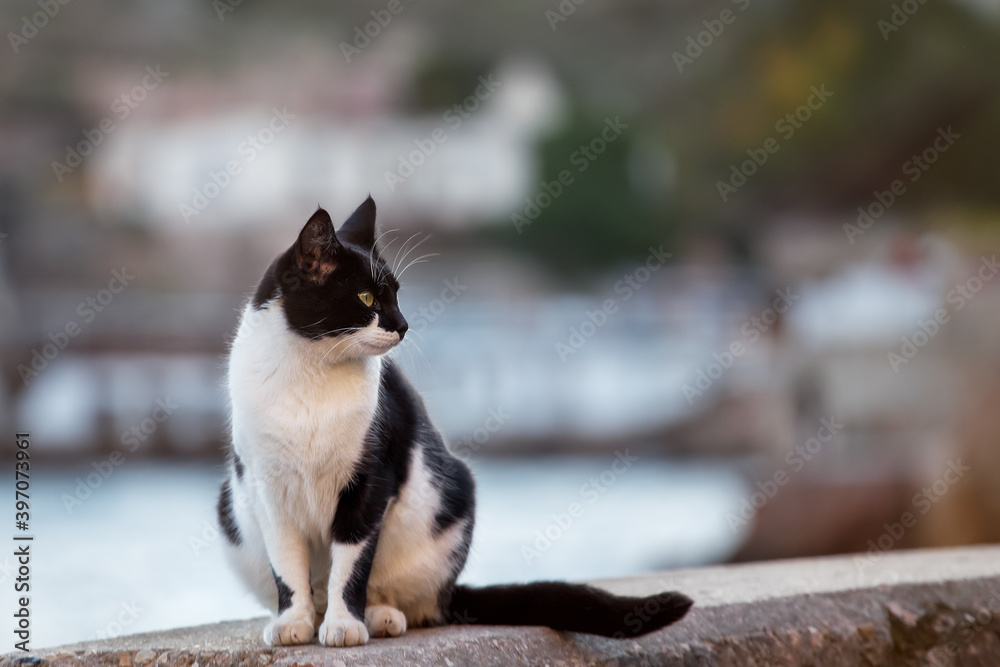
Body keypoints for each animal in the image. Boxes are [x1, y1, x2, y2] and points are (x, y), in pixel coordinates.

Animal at [217, 198, 688, 648]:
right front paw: (291, 623)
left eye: (397, 295)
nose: (403, 325)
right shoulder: (266, 487)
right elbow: (287, 565)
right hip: (230, 505)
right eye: (367, 298)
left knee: (408, 598)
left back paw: (380, 617)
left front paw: (346, 625)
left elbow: (350, 566)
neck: (312, 372)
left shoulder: (372, 479)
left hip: (448, 499)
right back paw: (312, 618)